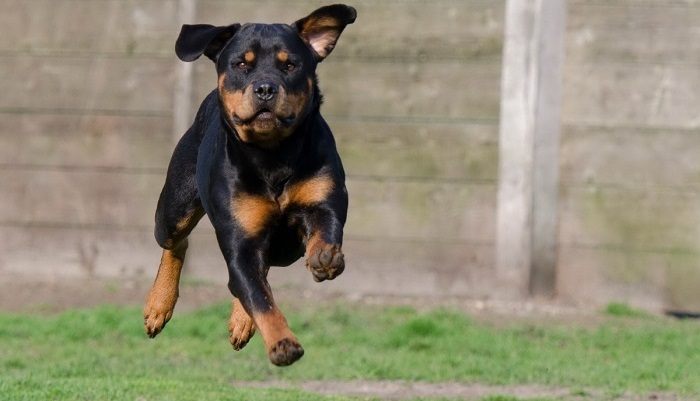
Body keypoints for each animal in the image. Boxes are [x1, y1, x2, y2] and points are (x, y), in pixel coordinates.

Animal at [146, 3, 358, 366]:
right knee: (177, 243)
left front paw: (324, 257)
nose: (265, 88)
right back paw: (158, 306)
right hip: (174, 208)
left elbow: (324, 229)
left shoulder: (324, 200)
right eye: (241, 64)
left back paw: (240, 320)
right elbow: (259, 298)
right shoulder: (240, 236)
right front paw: (283, 344)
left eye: (290, 64)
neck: (272, 154)